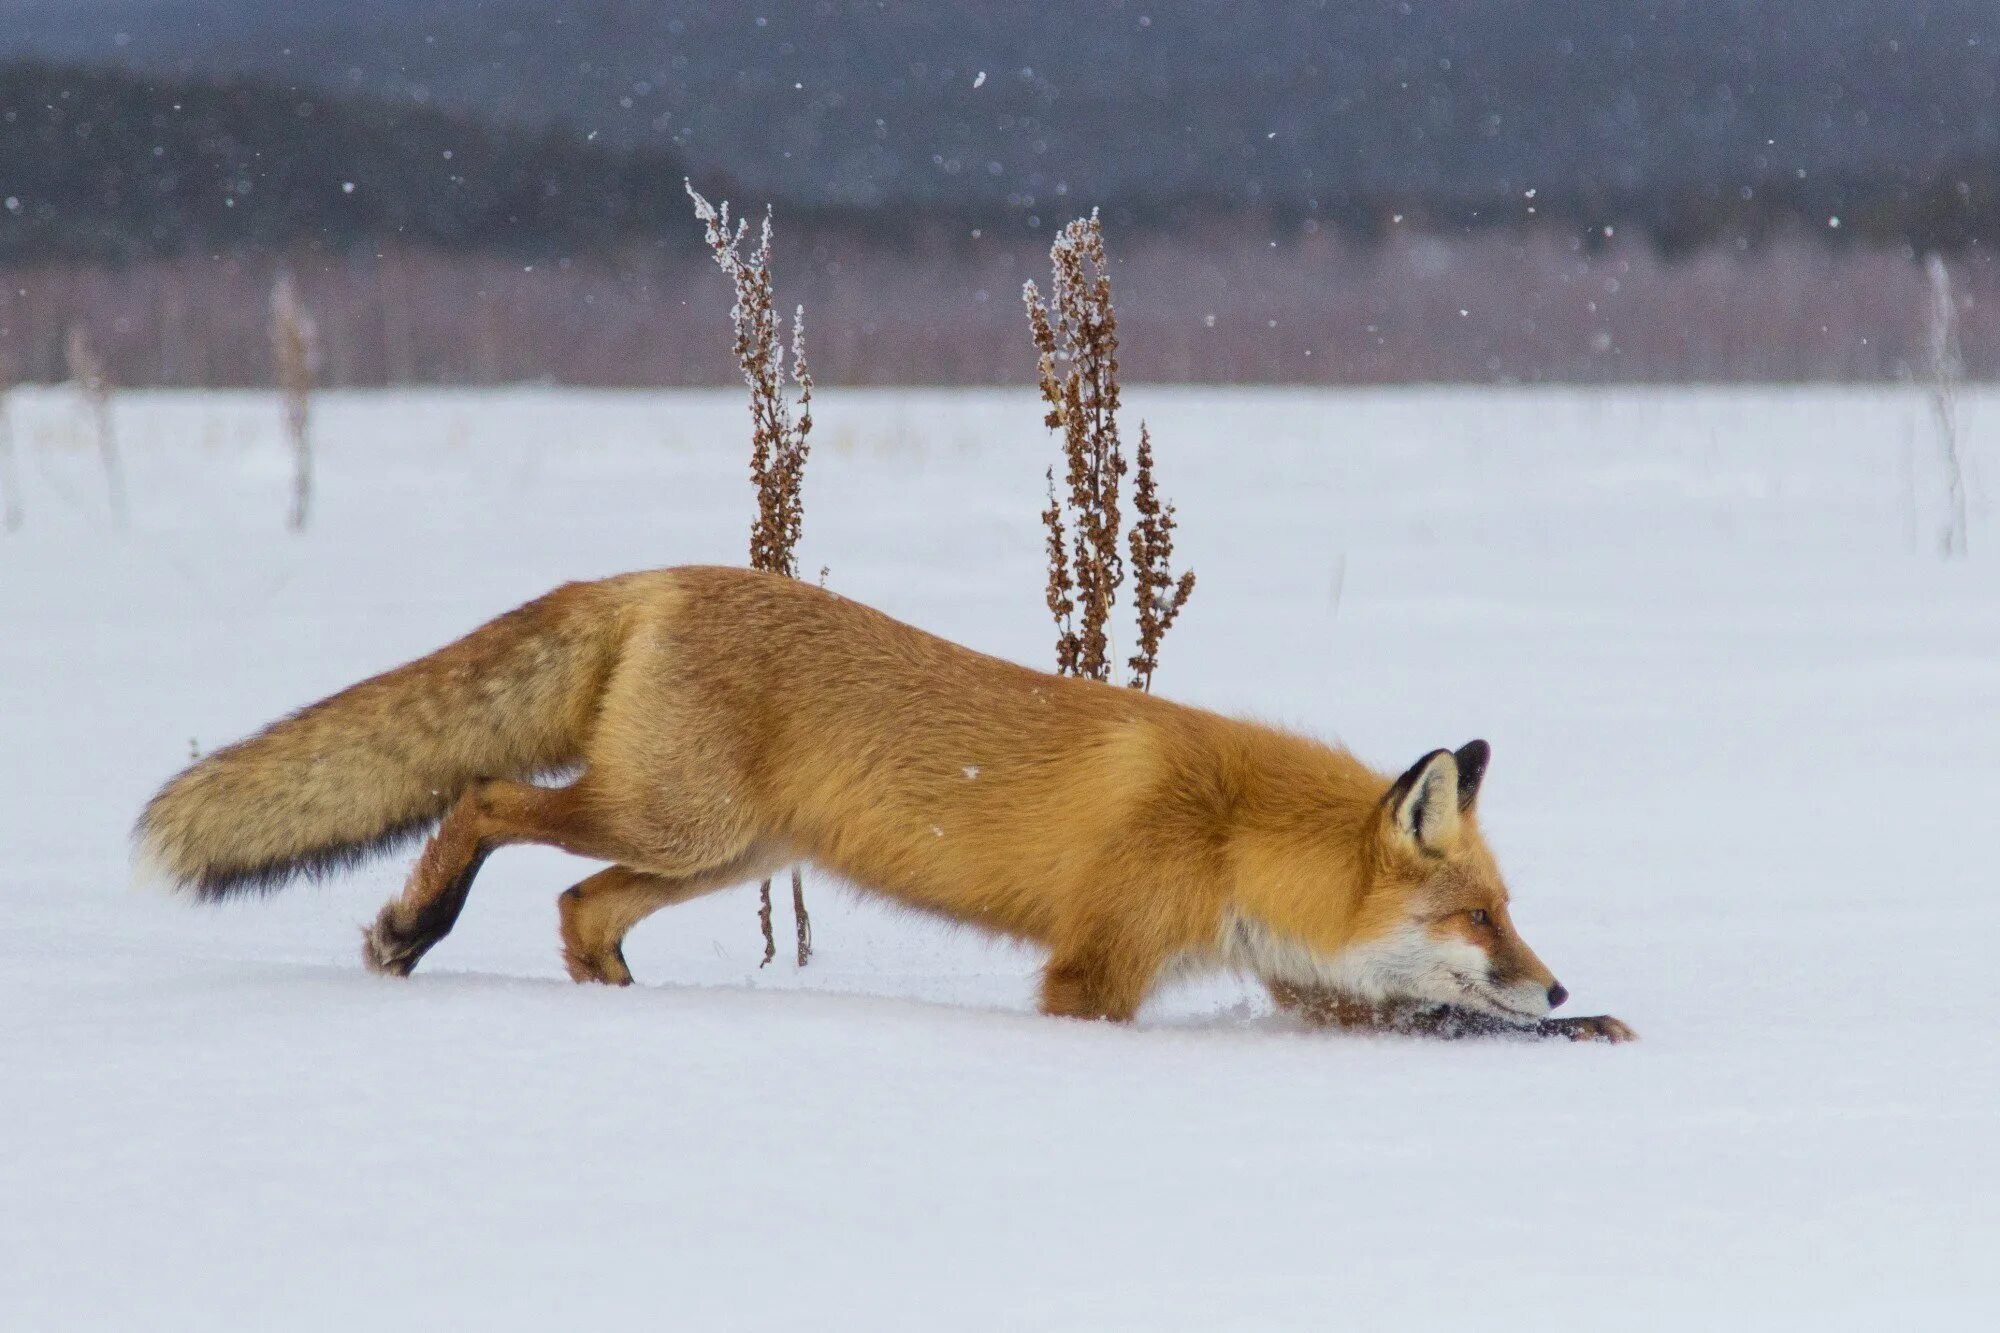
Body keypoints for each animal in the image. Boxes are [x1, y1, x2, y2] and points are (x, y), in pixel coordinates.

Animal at [145, 560, 1640, 1040]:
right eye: (1479, 915)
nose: (1558, 981)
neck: (1233, 835)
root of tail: (657, 575)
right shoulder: (1096, 969)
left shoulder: (1287, 979)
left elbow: (1422, 1025)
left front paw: (1583, 1035)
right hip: (674, 825)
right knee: (483, 798)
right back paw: (409, 931)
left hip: (716, 853)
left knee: (579, 909)